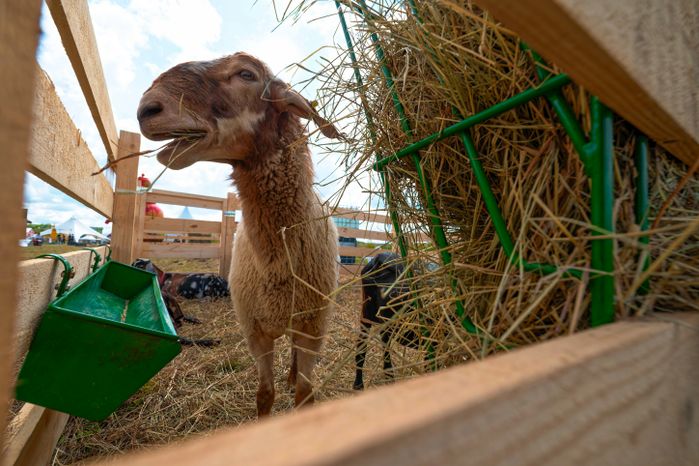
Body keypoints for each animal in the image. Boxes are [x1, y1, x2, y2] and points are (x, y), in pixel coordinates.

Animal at [137, 52, 341, 416]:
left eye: (246, 74)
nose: (146, 109)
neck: (276, 264)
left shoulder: (313, 329)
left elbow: (305, 395)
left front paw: (298, 390)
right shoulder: (255, 332)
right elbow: (264, 394)